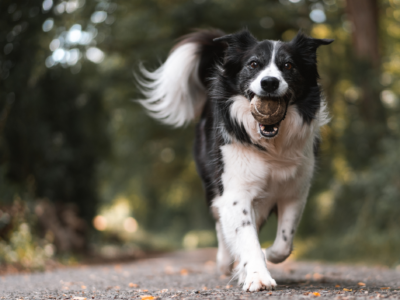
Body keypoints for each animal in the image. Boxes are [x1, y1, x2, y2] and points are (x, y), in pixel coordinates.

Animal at [137, 29, 332, 292]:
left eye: (288, 65)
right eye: (254, 64)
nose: (269, 82)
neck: (271, 145)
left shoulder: (295, 190)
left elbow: (283, 243)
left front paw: (265, 256)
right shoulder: (235, 190)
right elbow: (245, 236)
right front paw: (257, 276)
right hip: (212, 185)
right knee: (221, 224)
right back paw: (225, 262)